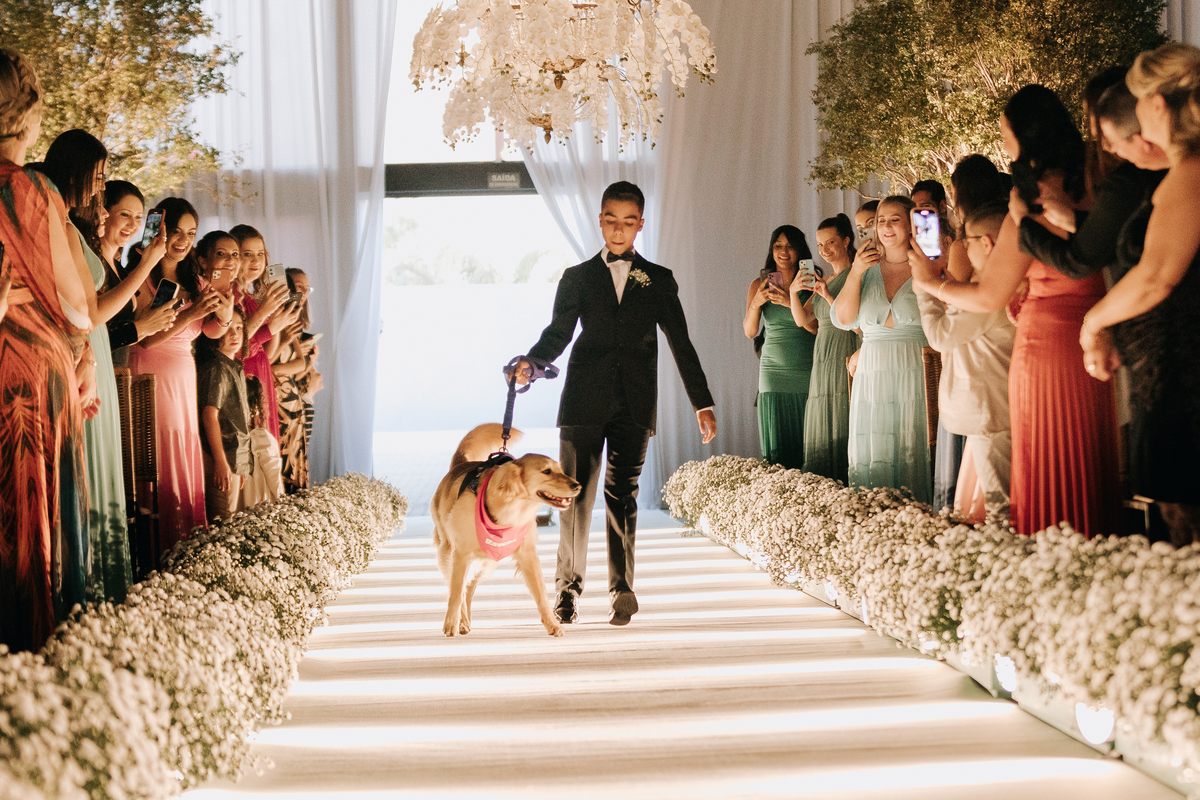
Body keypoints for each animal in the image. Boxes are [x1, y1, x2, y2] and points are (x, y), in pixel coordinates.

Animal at [431, 424, 580, 637]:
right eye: (547, 471)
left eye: (561, 470)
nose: (577, 485)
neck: (510, 508)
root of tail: (460, 465)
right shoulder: (461, 554)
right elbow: (456, 592)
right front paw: (451, 623)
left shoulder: (528, 555)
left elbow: (541, 595)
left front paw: (552, 625)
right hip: (448, 552)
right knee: (459, 588)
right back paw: (460, 621)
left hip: (485, 562)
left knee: (468, 589)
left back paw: (465, 622)